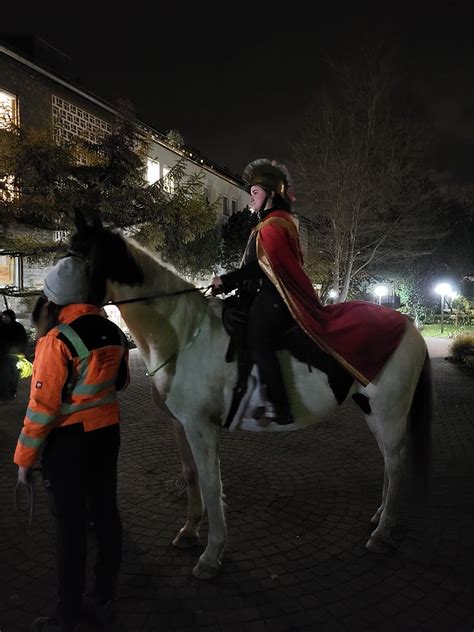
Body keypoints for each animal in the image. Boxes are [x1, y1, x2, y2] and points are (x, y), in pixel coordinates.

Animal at [72, 215, 432, 580]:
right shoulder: (180, 424)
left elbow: (211, 483)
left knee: (396, 464)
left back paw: (382, 532)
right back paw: (380, 517)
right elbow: (190, 477)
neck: (184, 334)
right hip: (374, 412)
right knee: (389, 462)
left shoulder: (202, 428)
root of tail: (409, 327)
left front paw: (211, 555)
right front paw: (189, 532)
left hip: (390, 412)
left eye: (79, 259)